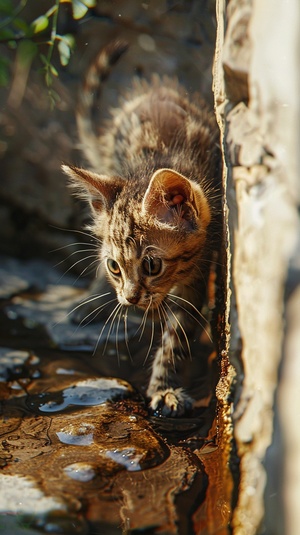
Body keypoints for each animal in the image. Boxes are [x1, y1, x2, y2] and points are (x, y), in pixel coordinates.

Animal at [62, 42, 220, 418]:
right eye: (114, 267)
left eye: (151, 265)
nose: (130, 299)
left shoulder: (200, 268)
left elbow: (178, 333)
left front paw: (164, 387)